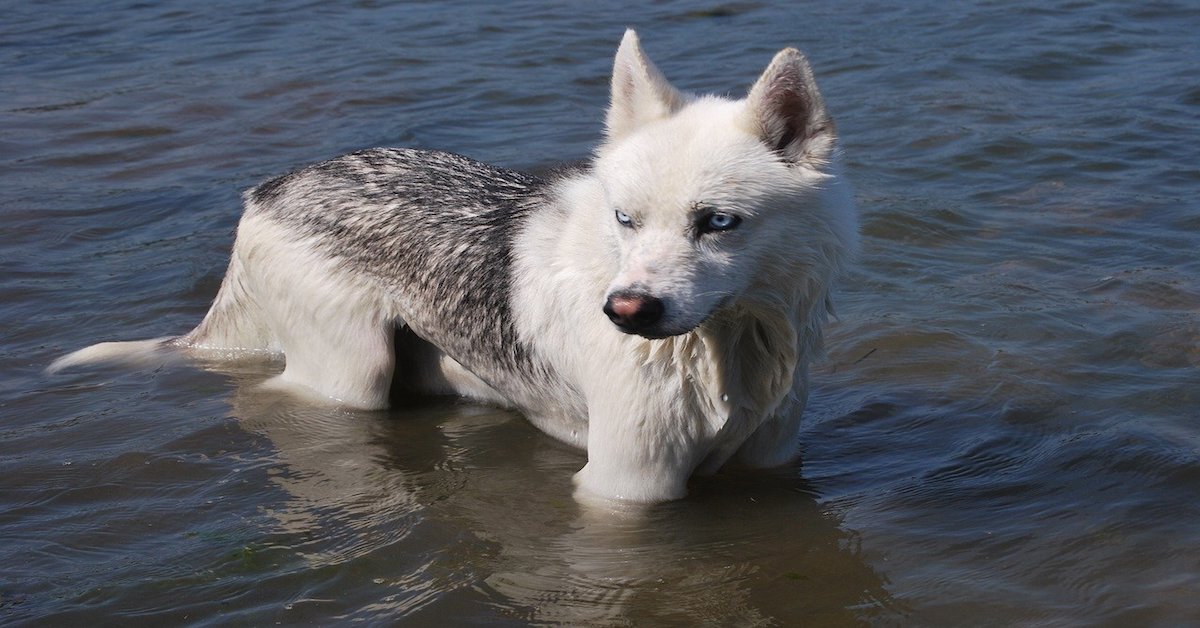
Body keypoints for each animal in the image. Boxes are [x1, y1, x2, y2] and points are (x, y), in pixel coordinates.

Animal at [51, 30, 859, 506]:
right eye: (625, 220)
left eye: (717, 223)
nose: (624, 311)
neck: (730, 349)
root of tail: (270, 188)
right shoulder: (625, 488)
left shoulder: (773, 464)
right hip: (352, 379)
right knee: (275, 391)